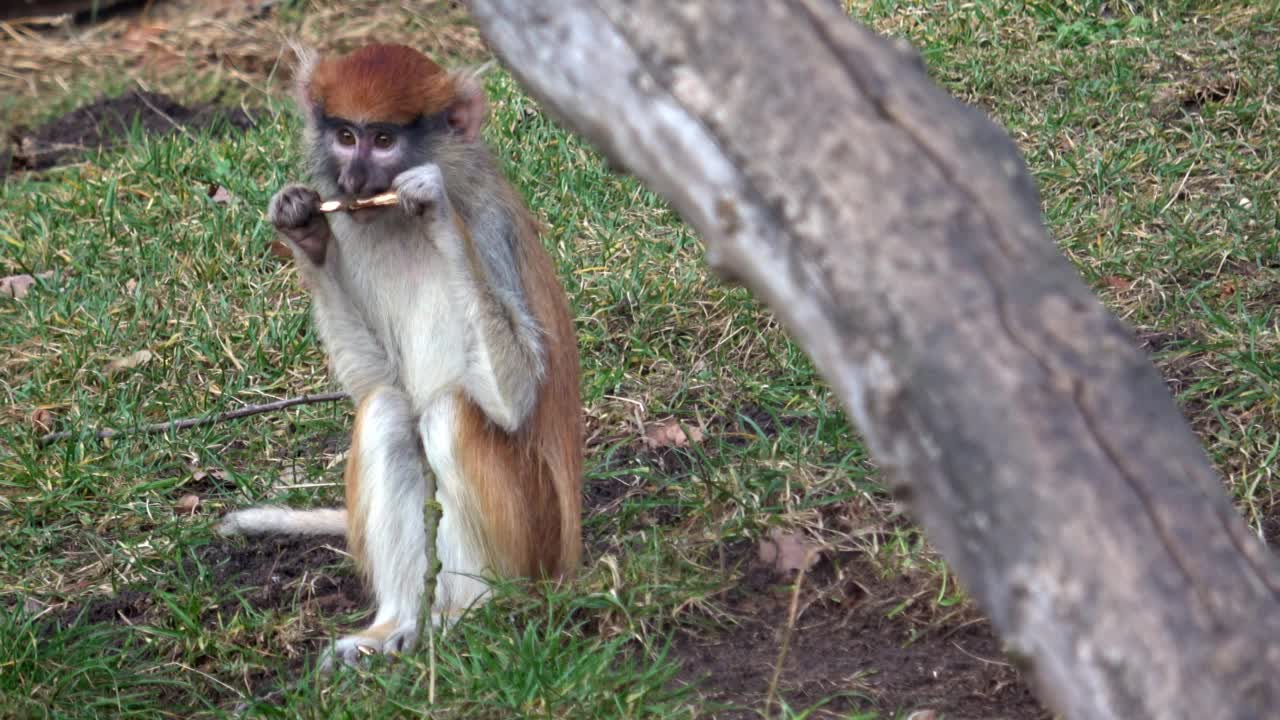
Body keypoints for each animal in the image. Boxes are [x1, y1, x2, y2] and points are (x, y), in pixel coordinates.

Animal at [217, 41, 583, 666]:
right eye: (345, 135)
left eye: (384, 140)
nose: (353, 177)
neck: (392, 222)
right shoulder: (352, 229)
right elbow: (376, 379)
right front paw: (302, 227)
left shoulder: (492, 230)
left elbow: (515, 397)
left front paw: (435, 208)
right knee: (388, 411)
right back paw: (394, 625)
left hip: (536, 543)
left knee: (451, 413)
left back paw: (471, 612)